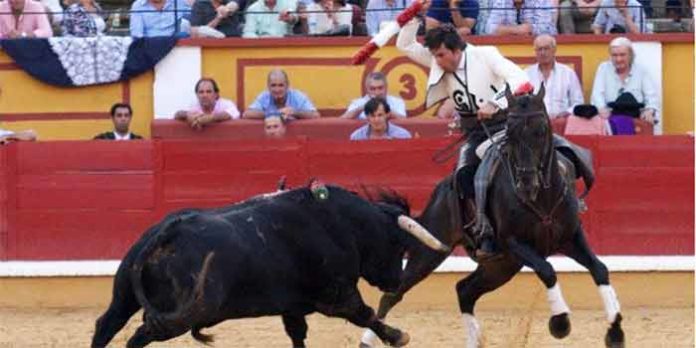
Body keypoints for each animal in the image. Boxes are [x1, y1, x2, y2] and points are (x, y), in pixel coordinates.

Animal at [91, 184, 446, 346]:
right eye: (398, 245)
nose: (395, 282)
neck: (340, 224)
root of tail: (166, 233)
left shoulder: (292, 307)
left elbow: (298, 335)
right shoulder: (338, 297)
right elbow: (366, 314)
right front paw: (398, 335)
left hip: (125, 296)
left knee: (107, 324)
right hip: (180, 314)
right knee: (138, 336)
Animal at [358, 85, 624, 348]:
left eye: (541, 130)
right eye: (510, 134)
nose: (527, 183)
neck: (541, 197)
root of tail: (442, 188)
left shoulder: (571, 237)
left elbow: (600, 269)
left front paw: (615, 332)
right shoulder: (514, 242)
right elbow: (547, 270)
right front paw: (560, 323)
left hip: (501, 265)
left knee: (464, 290)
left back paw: (474, 341)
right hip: (433, 249)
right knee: (394, 293)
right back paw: (373, 340)